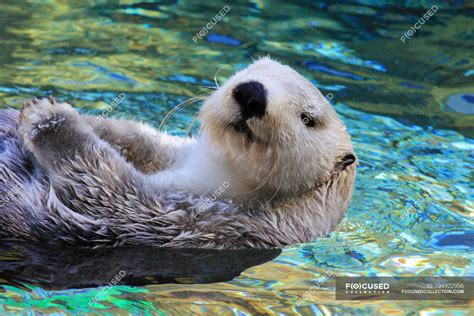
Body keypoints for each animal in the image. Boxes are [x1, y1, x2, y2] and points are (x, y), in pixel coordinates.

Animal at [0, 58, 356, 248]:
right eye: (250, 71)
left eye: (308, 119)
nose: (252, 92)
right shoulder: (173, 154)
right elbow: (138, 138)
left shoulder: (207, 220)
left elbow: (106, 188)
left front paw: (49, 117)